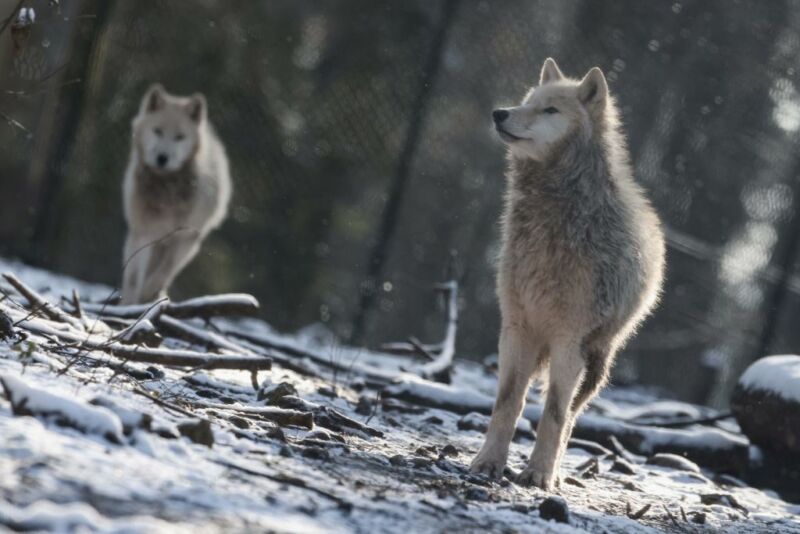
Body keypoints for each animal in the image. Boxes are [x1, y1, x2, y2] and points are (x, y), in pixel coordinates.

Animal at [119, 81, 231, 304]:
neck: (166, 191)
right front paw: (129, 303)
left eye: (180, 137)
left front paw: (149, 293)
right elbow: (134, 277)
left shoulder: (186, 239)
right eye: (157, 131)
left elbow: (165, 271)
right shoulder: (143, 232)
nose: (162, 158)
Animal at [472, 59, 664, 494]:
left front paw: (539, 475)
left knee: (572, 416)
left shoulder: (569, 341)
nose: (499, 113)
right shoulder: (517, 329)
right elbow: (508, 403)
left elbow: (554, 414)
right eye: (528, 101)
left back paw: (556, 471)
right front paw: (488, 463)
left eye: (550, 111)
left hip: (596, 361)